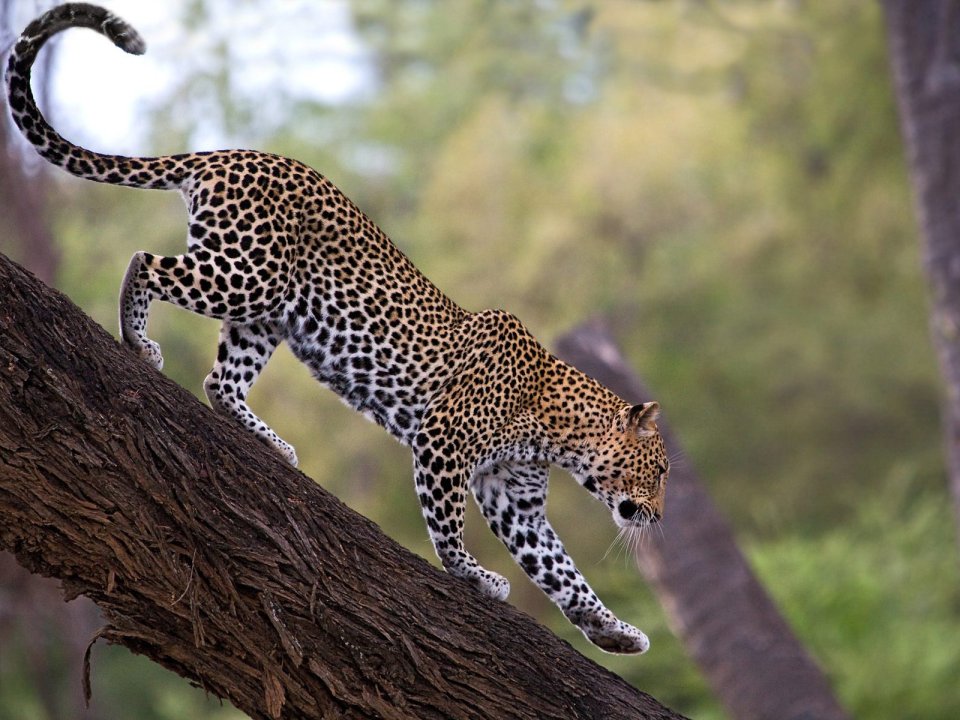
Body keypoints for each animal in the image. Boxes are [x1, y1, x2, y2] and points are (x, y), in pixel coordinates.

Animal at [6, 3, 670, 654]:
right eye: (661, 472)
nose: (660, 518)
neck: (559, 431)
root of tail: (231, 153)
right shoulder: (443, 443)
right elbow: (449, 526)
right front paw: (473, 575)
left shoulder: (516, 498)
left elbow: (561, 569)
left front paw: (613, 630)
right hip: (247, 275)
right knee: (145, 262)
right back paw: (139, 342)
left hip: (267, 314)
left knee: (221, 381)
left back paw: (270, 443)